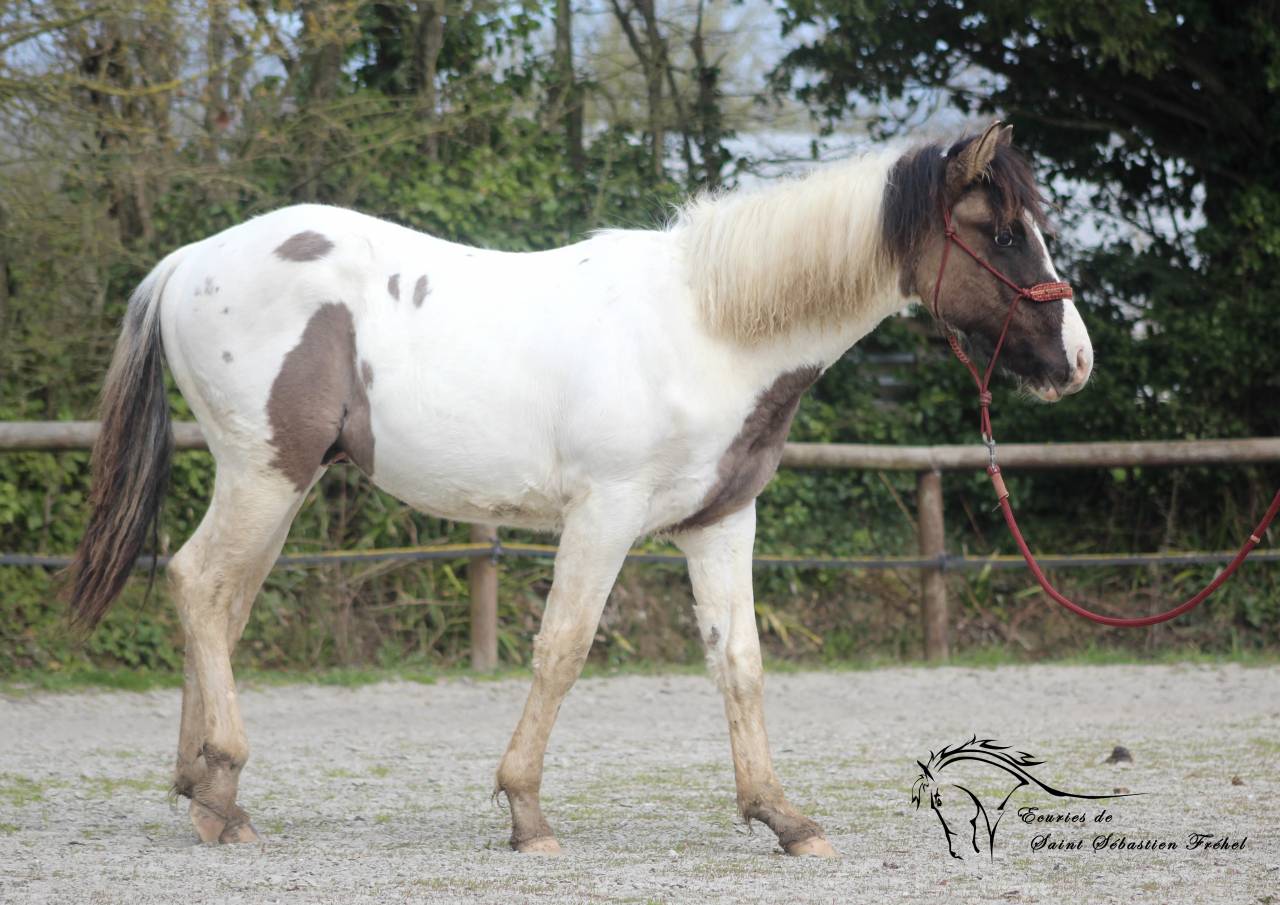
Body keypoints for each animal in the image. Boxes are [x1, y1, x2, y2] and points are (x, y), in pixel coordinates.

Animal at [66, 121, 1091, 855]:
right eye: (1002, 232)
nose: (1074, 361)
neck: (710, 329)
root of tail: (188, 260)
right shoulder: (604, 514)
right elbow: (562, 649)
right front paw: (526, 814)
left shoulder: (721, 521)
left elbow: (741, 662)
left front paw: (783, 817)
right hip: (265, 474)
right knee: (200, 586)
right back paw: (223, 788)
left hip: (278, 482)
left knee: (219, 602)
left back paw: (204, 791)